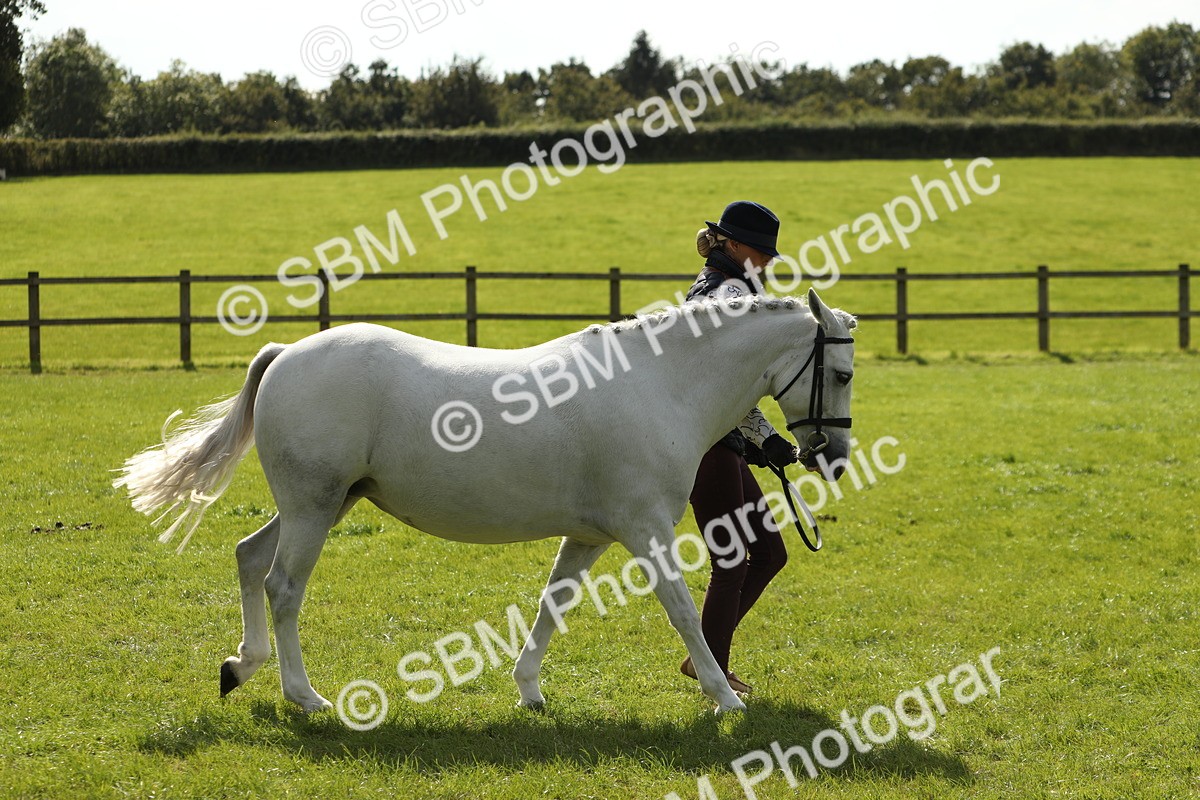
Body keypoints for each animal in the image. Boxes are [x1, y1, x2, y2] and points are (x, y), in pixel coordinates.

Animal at [114, 288, 857, 715]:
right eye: (844, 372)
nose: (831, 457)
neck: (659, 385)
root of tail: (287, 352)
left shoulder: (590, 535)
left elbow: (553, 603)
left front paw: (529, 690)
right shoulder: (644, 531)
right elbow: (682, 613)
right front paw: (724, 697)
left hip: (324, 505)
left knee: (247, 559)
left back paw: (240, 667)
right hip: (313, 508)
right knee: (283, 586)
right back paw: (306, 696)